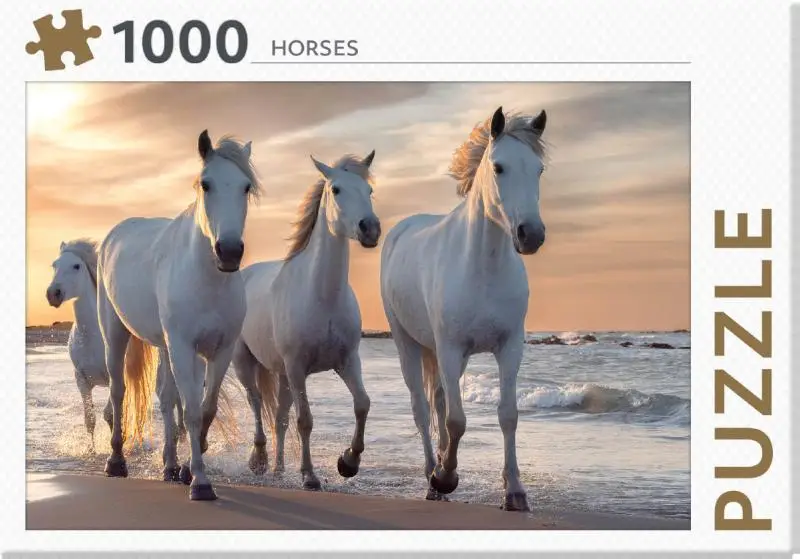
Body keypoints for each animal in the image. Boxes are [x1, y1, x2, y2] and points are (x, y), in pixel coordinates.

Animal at [46, 240, 186, 452]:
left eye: (76, 266)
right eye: (54, 265)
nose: (53, 294)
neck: (91, 337)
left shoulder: (116, 376)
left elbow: (110, 414)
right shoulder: (81, 380)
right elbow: (90, 420)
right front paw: (92, 450)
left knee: (176, 398)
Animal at [97, 130, 261, 500]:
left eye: (245, 187)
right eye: (206, 184)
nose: (229, 252)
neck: (207, 279)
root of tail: (114, 234)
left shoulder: (219, 350)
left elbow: (204, 409)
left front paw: (187, 469)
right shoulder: (184, 348)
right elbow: (191, 413)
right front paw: (200, 482)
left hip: (164, 346)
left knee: (166, 398)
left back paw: (170, 466)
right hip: (115, 334)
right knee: (118, 391)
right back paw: (116, 461)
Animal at [232, 151, 380, 490]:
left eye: (369, 191)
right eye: (336, 189)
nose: (370, 229)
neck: (322, 297)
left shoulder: (347, 362)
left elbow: (362, 404)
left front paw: (348, 462)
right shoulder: (298, 367)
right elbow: (306, 420)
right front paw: (310, 476)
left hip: (283, 375)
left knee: (279, 417)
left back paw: (278, 469)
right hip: (247, 363)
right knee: (256, 402)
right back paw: (259, 460)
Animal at [379, 107, 548, 512]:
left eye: (538, 169)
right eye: (499, 167)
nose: (531, 235)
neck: (483, 267)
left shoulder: (509, 348)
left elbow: (508, 415)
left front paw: (515, 491)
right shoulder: (450, 348)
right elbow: (457, 420)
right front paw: (445, 477)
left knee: (438, 401)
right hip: (408, 344)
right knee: (423, 409)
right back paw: (432, 475)